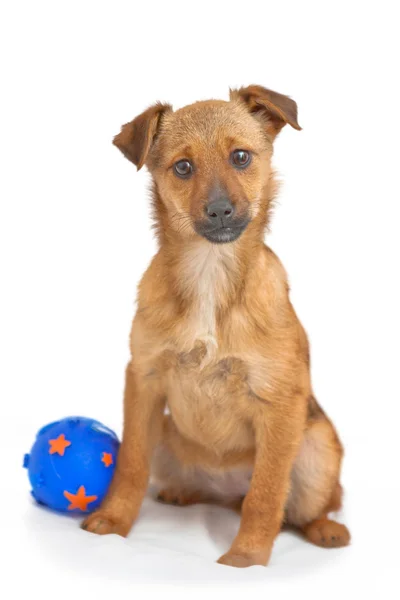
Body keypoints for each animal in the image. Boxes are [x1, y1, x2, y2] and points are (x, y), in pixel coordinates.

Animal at [82, 84, 350, 568]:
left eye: (240, 157)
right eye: (183, 167)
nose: (221, 211)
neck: (210, 273)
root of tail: (225, 488)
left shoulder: (279, 401)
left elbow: (267, 492)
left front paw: (246, 559)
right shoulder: (144, 380)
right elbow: (130, 462)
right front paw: (113, 522)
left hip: (319, 446)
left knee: (308, 505)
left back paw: (326, 529)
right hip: (167, 433)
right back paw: (180, 492)